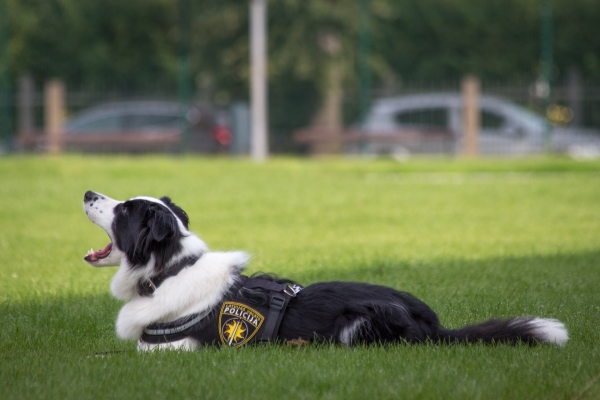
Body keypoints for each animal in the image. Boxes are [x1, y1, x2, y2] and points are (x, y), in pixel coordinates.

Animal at [83, 191, 568, 350]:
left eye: (124, 210)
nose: (88, 193)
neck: (170, 270)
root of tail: (435, 326)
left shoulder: (174, 349)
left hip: (358, 323)